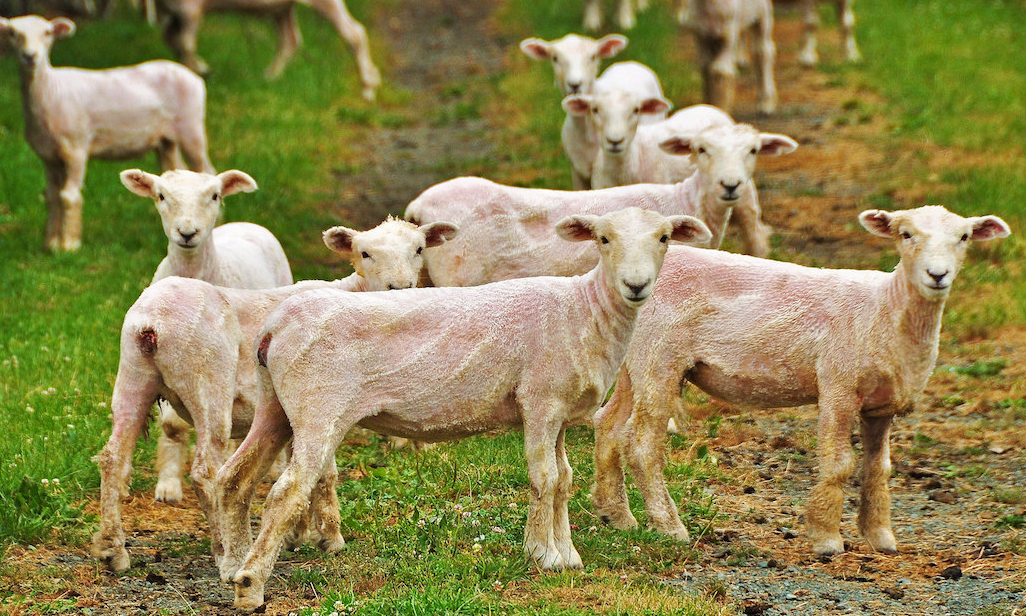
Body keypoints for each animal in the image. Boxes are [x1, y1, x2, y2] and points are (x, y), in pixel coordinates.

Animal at [0, 16, 213, 252]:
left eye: (47, 33)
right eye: (12, 33)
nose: (30, 56)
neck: (51, 90)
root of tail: (193, 77)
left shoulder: (76, 149)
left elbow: (68, 196)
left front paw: (70, 245)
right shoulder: (49, 157)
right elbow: (52, 196)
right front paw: (51, 245)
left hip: (191, 127)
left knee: (207, 171)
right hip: (166, 140)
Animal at [90, 217, 459, 570]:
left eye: (419, 249)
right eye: (365, 253)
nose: (401, 288)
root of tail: (152, 323)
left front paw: (299, 534)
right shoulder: (325, 397)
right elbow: (326, 474)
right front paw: (330, 537)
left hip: (133, 373)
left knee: (113, 458)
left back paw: (112, 550)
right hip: (207, 378)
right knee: (206, 471)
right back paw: (225, 550)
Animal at [158, 0, 383, 100]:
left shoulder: (189, 8)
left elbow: (185, 44)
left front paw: (195, 75)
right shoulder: (175, 13)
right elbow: (172, 40)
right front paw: (199, 70)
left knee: (354, 33)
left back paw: (368, 87)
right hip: (282, 8)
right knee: (290, 40)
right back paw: (269, 78)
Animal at [214, 208, 714, 611]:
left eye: (664, 238)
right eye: (604, 239)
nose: (636, 285)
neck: (585, 310)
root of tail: (276, 324)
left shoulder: (561, 411)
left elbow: (565, 480)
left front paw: (567, 555)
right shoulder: (540, 400)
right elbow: (545, 478)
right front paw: (544, 555)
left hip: (275, 406)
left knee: (234, 479)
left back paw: (232, 566)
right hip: (319, 406)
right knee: (286, 493)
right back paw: (251, 587)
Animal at [595, 208, 1009, 558]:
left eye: (964, 237)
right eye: (905, 234)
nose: (937, 275)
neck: (886, 309)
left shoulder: (881, 406)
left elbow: (879, 468)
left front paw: (880, 537)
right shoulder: (839, 385)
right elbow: (840, 464)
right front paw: (826, 538)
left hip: (635, 360)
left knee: (609, 425)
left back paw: (617, 516)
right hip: (659, 358)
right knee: (642, 444)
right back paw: (669, 526)